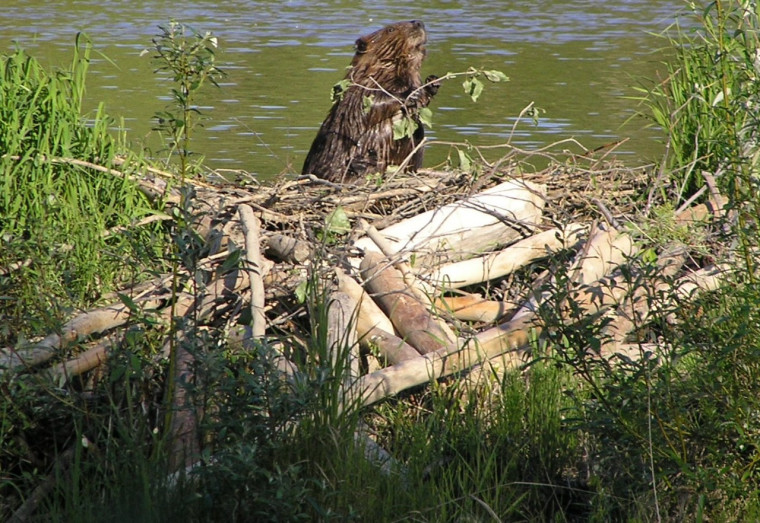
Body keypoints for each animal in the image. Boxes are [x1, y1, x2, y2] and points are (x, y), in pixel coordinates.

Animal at [300, 20, 436, 184]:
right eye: (390, 29)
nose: (419, 22)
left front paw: (432, 83)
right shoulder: (359, 88)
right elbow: (367, 106)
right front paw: (410, 93)